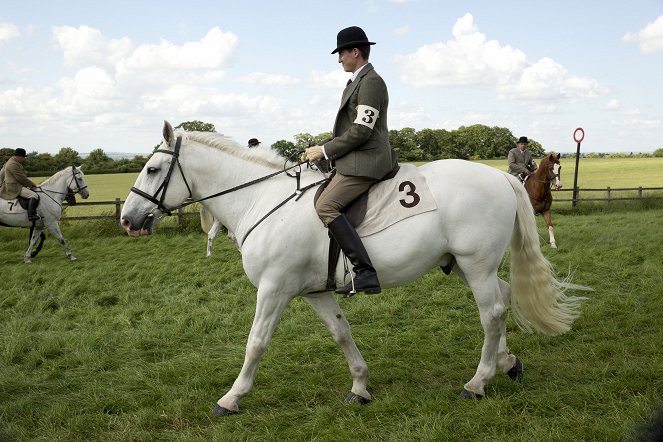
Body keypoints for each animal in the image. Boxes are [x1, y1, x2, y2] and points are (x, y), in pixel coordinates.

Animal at [119, 122, 588, 416]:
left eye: (153, 169)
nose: (127, 219)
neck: (262, 202)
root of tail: (499, 178)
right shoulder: (315, 292)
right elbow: (341, 334)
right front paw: (360, 387)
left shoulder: (273, 289)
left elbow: (256, 343)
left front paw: (232, 398)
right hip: (464, 266)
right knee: (504, 299)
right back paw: (508, 363)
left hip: (475, 265)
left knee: (491, 313)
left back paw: (478, 382)